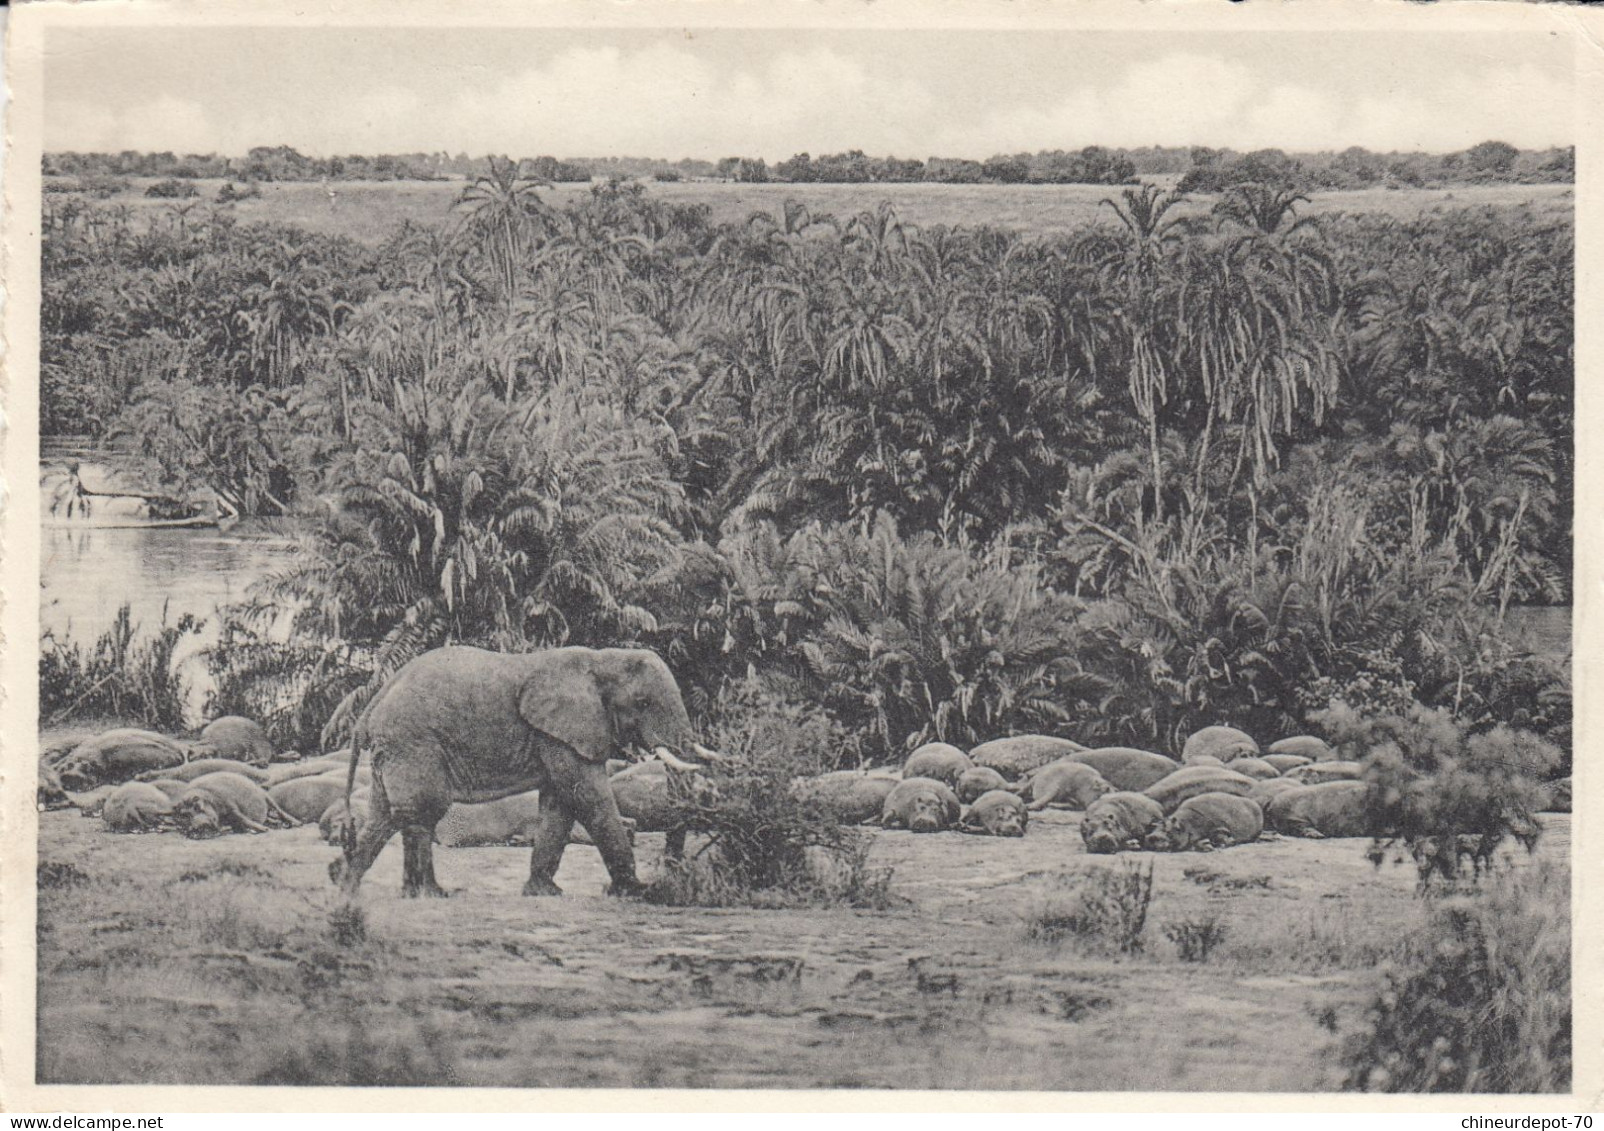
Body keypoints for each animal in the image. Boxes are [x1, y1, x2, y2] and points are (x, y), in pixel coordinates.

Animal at [325, 644, 715, 898]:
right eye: (643, 703)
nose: (671, 874)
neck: (602, 659)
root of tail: (375, 700)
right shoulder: (562, 732)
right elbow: (587, 796)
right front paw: (634, 891)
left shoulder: (557, 734)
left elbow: (559, 804)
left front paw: (545, 891)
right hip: (414, 741)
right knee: (423, 809)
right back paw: (430, 894)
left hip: (394, 748)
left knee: (389, 813)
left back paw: (349, 884)